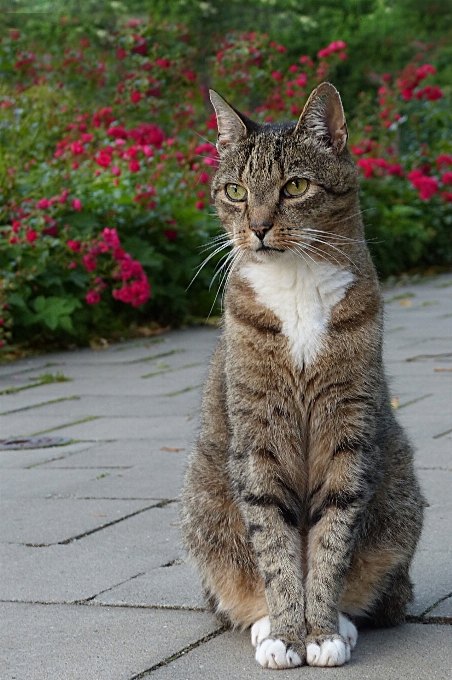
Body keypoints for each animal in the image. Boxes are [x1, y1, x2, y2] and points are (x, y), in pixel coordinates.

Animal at [179, 81, 424, 668]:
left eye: (295, 186)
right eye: (236, 192)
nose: (258, 228)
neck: (295, 286)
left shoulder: (349, 429)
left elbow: (331, 542)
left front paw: (321, 632)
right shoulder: (257, 436)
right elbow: (275, 545)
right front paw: (289, 633)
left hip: (399, 497)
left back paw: (345, 622)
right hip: (203, 505)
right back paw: (265, 624)